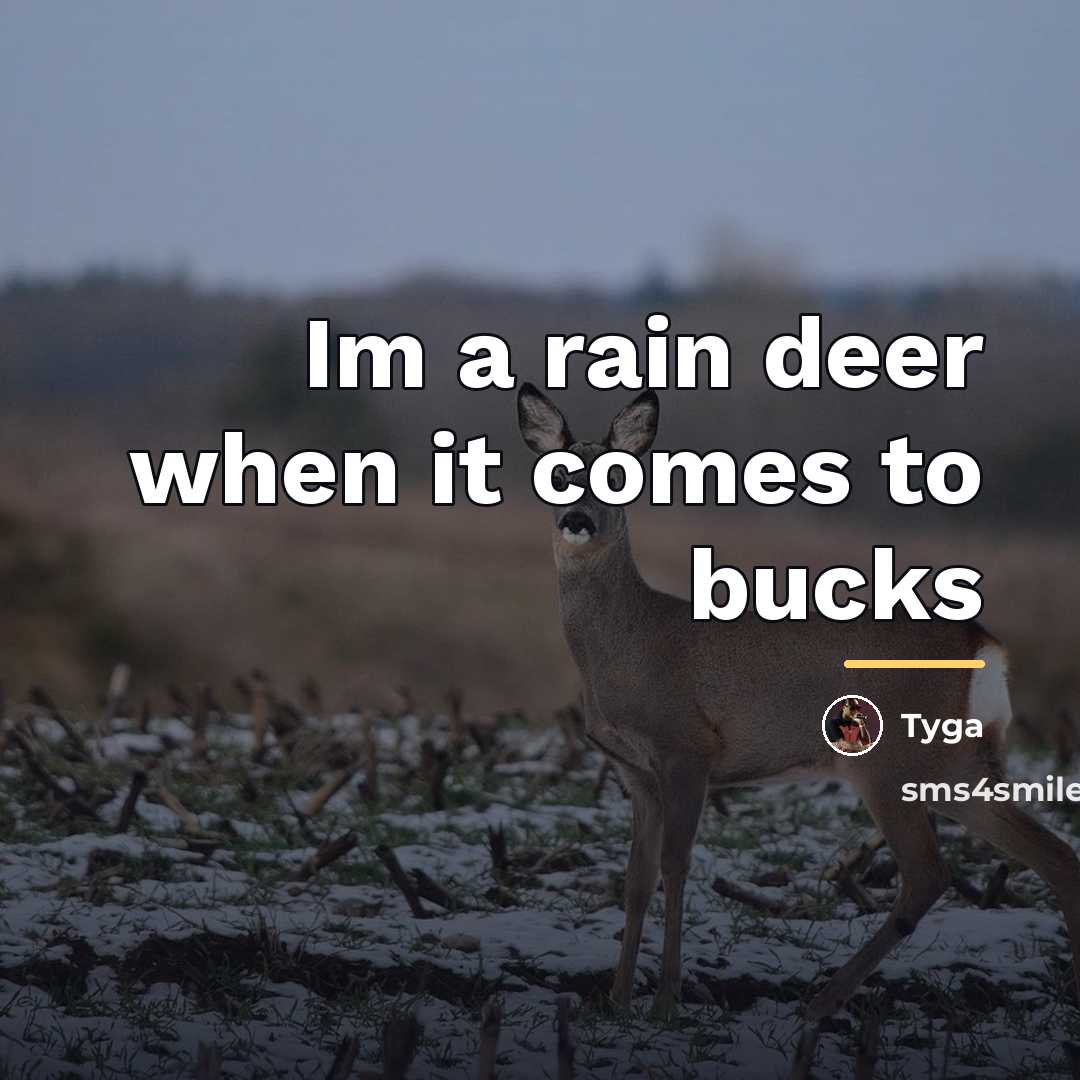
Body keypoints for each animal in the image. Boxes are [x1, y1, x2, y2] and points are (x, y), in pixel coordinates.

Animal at [517, 381, 1080, 1021]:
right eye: (556, 475)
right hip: (955, 762)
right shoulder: (634, 769)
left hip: (890, 761)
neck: (628, 644)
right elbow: (635, 879)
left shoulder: (688, 747)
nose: (577, 520)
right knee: (1055, 854)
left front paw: (664, 1001)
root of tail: (985, 645)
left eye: (618, 477)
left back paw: (821, 1002)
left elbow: (674, 865)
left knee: (928, 874)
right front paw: (615, 999)